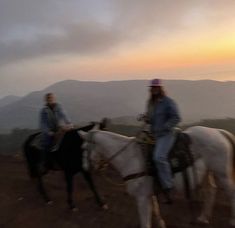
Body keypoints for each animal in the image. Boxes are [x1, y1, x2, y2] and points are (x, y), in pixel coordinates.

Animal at [78, 125, 235, 227]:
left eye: (83, 148)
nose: (85, 168)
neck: (129, 157)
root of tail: (219, 132)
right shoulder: (149, 193)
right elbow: (155, 210)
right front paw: (161, 223)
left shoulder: (141, 197)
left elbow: (145, 221)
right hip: (208, 173)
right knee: (211, 191)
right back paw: (203, 218)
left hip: (222, 173)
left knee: (230, 192)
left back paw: (232, 221)